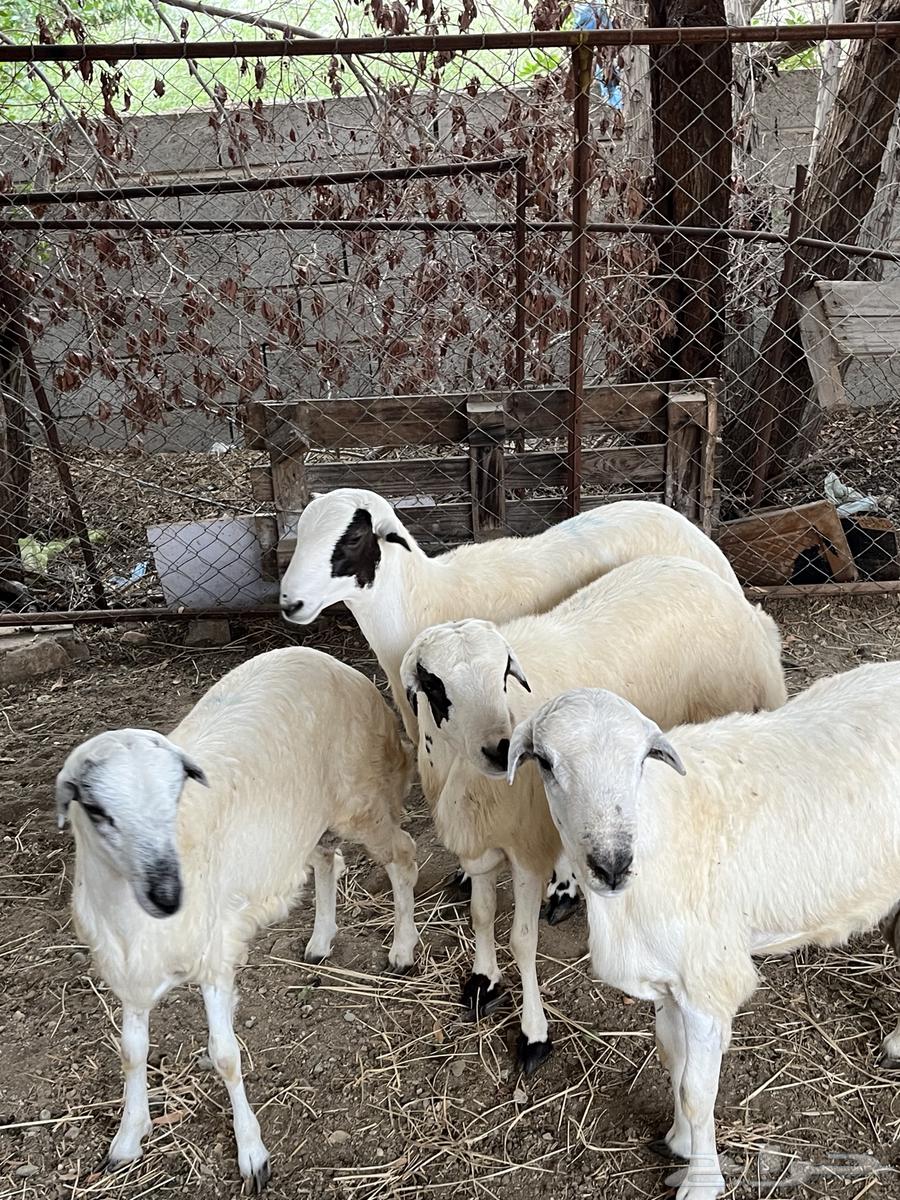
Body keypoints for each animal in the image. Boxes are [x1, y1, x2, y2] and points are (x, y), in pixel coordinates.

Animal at [55, 647, 418, 1192]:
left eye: (176, 794)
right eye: (96, 809)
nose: (168, 895)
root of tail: (335, 663)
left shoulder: (215, 958)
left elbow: (225, 1055)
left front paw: (252, 1152)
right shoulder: (128, 976)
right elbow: (131, 1051)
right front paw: (128, 1137)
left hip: (363, 798)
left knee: (403, 855)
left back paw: (402, 947)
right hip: (301, 824)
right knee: (328, 860)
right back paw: (321, 941)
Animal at [279, 486, 742, 921]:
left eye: (353, 537)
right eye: (301, 533)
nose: (289, 603)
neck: (420, 597)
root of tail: (690, 530)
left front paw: (562, 888)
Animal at [399, 556, 786, 1073]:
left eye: (503, 674)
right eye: (434, 685)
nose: (501, 748)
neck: (466, 775)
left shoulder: (525, 850)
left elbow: (522, 940)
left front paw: (534, 1033)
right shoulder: (481, 840)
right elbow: (481, 914)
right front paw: (484, 980)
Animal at [507, 662, 900, 1199]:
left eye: (641, 759)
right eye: (544, 762)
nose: (612, 865)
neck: (658, 828)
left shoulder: (706, 981)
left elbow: (697, 1090)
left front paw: (702, 1181)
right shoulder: (670, 983)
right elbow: (673, 1061)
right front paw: (679, 1140)